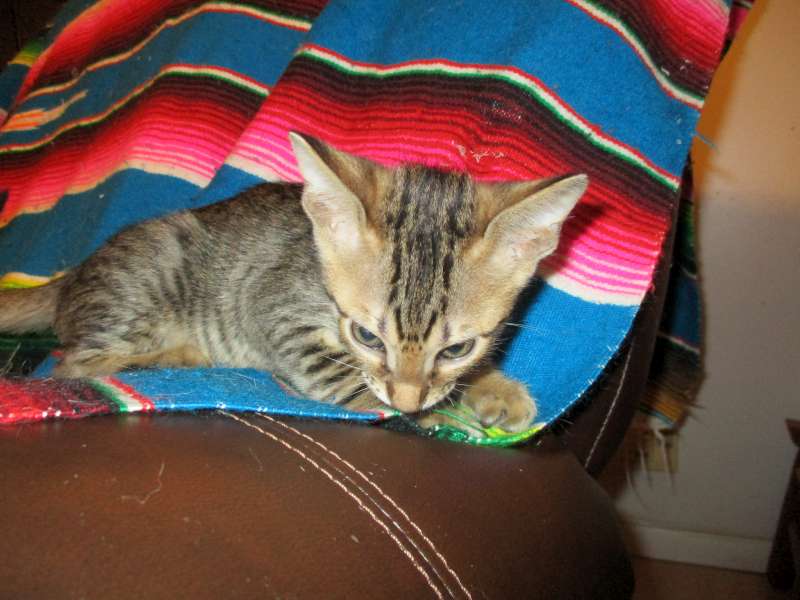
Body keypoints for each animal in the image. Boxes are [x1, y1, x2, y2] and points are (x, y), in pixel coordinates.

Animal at [0, 133, 587, 433]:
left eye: (457, 348)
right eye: (367, 337)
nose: (405, 401)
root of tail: (73, 275)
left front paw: (492, 388)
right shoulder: (277, 312)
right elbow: (350, 382)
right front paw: (438, 416)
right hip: (142, 290)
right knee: (72, 363)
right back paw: (175, 357)